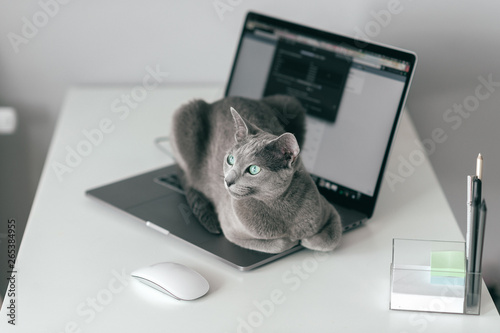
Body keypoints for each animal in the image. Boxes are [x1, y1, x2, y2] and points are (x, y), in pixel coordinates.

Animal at [170, 94, 342, 252]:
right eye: (231, 159)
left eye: (253, 169)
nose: (227, 180)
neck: (279, 206)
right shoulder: (230, 229)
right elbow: (279, 244)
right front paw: (293, 241)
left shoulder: (329, 209)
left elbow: (331, 239)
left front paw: (306, 240)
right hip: (185, 115)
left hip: (292, 104)